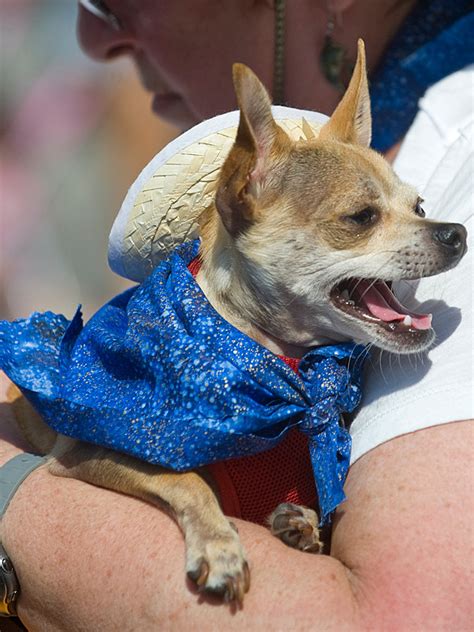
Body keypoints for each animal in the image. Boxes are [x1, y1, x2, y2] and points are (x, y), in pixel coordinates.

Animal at [9, 42, 468, 604]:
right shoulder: (86, 452)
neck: (273, 371)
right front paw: (219, 544)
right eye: (361, 217)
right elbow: (186, 478)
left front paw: (300, 526)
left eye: (419, 206)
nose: (456, 232)